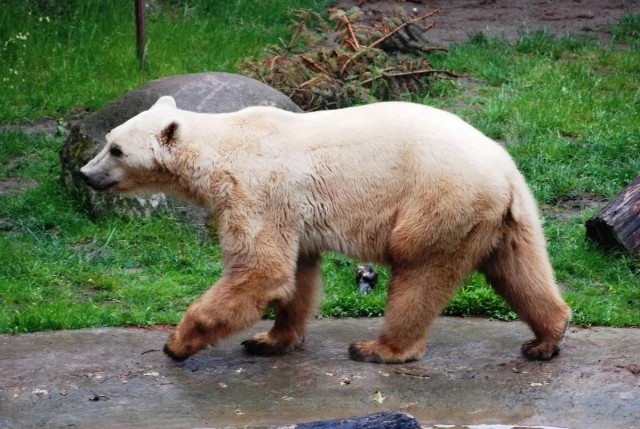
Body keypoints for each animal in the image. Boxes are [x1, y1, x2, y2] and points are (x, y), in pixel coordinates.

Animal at [80, 95, 571, 364]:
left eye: (116, 149)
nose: (85, 174)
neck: (223, 148)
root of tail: (505, 173)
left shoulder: (257, 190)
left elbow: (260, 270)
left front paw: (177, 344)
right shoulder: (290, 210)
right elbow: (297, 274)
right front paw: (269, 339)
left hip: (439, 201)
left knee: (419, 270)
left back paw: (379, 349)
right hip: (505, 217)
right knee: (519, 268)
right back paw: (547, 336)